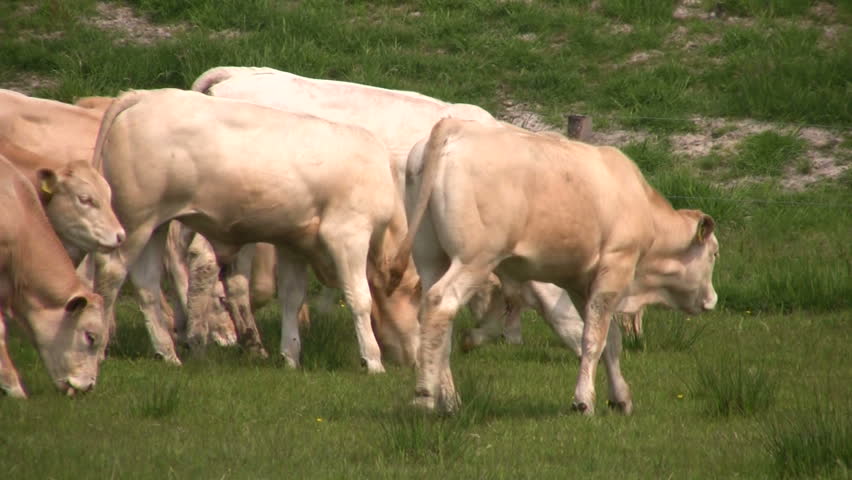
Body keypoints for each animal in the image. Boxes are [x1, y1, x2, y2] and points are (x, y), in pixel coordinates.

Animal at [91, 88, 421, 371]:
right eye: (417, 292)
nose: (414, 358)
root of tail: (145, 95)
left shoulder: (293, 243)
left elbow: (292, 298)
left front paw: (290, 356)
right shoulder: (348, 236)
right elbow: (359, 299)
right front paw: (373, 361)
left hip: (155, 225)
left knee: (146, 283)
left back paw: (168, 353)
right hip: (134, 223)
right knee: (111, 274)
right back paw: (100, 349)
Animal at [390, 118, 719, 415]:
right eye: (714, 254)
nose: (712, 300)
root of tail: (454, 125)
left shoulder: (581, 283)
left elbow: (610, 341)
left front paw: (620, 397)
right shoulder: (615, 270)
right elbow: (594, 340)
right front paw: (583, 400)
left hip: (431, 258)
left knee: (436, 320)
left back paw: (449, 400)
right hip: (474, 259)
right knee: (441, 303)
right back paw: (425, 395)